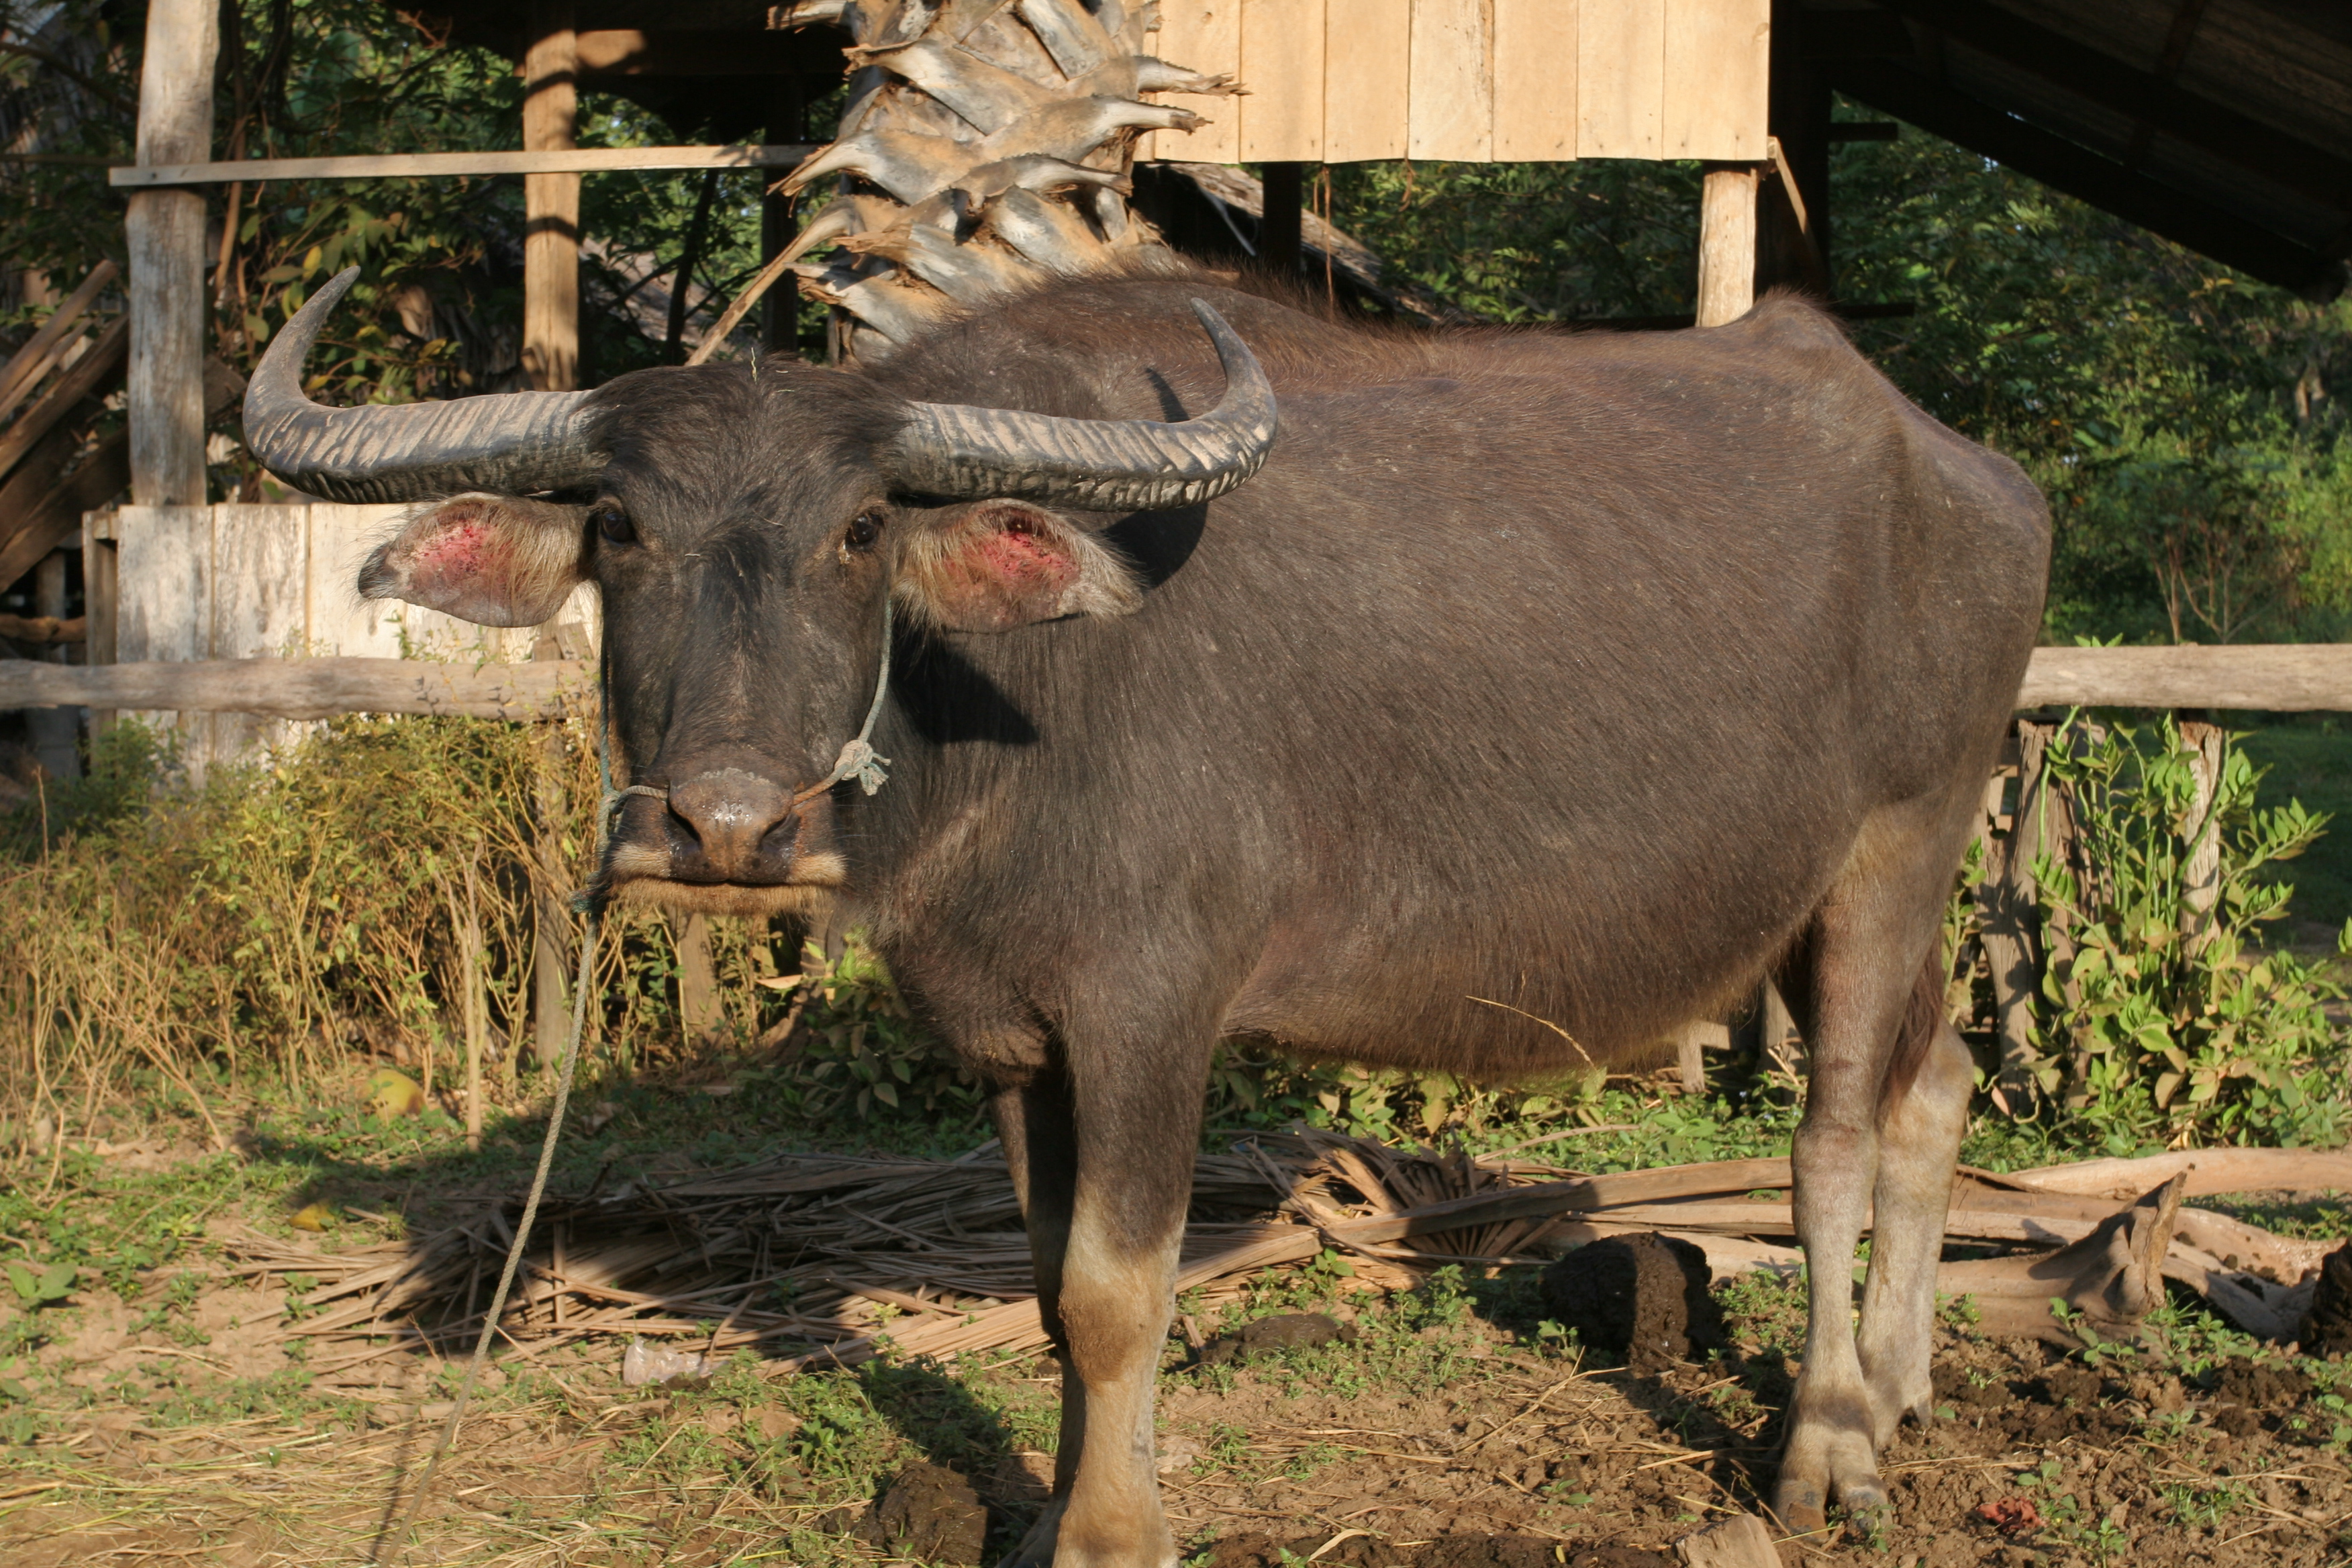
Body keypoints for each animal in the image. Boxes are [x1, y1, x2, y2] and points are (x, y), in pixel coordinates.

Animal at [247, 263, 2048, 1563]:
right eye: (622, 527)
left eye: (859, 528)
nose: (728, 825)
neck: (1010, 706)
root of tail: (1967, 471)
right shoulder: (1010, 1037)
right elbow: (1050, 1289)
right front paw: (1049, 1501)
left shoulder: (1150, 1008)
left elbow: (1122, 1290)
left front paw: (1115, 1531)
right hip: (1842, 891)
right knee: (1935, 1083)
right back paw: (1901, 1387)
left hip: (1896, 843)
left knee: (1829, 1138)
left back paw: (1827, 1444)